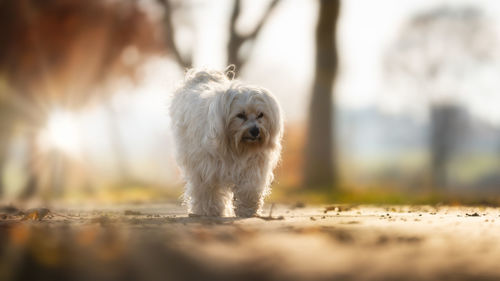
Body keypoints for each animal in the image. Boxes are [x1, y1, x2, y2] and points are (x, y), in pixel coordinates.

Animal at [170, 68, 284, 217]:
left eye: (261, 115)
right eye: (240, 115)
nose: (255, 131)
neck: (236, 147)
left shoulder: (253, 166)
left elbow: (250, 187)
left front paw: (248, 210)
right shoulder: (206, 167)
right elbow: (208, 189)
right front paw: (210, 211)